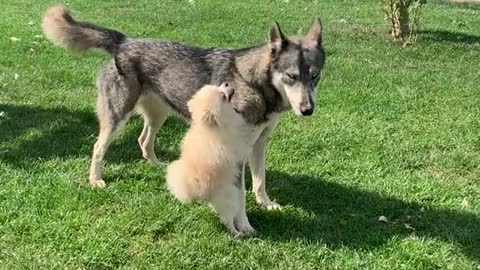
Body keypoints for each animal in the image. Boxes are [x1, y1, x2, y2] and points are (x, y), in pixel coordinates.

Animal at [42, 5, 326, 210]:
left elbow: (260, 180)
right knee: (98, 147)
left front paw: (266, 204)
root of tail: (123, 42)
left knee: (143, 140)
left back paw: (158, 166)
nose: (307, 110)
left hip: (159, 114)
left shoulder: (259, 143)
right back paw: (96, 180)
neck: (254, 82)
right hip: (117, 118)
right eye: (291, 76)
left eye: (315, 76)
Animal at [165, 82, 255, 236]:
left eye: (219, 87)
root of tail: (200, 191)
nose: (226, 83)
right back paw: (238, 234)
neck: (212, 128)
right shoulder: (235, 144)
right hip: (229, 197)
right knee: (229, 220)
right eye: (223, 96)